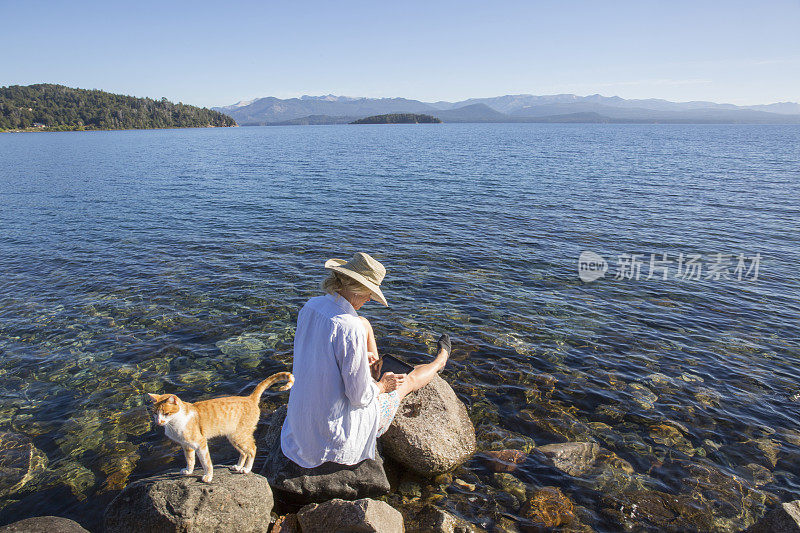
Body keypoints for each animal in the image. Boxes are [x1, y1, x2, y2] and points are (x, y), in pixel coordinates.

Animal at [148, 370, 294, 482]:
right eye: (155, 413)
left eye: (166, 413)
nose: (158, 421)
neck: (175, 423)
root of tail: (249, 398)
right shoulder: (186, 446)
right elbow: (190, 460)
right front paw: (188, 471)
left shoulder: (200, 443)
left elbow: (206, 462)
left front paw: (208, 477)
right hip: (233, 437)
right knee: (243, 452)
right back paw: (238, 467)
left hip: (239, 436)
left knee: (252, 449)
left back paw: (246, 469)